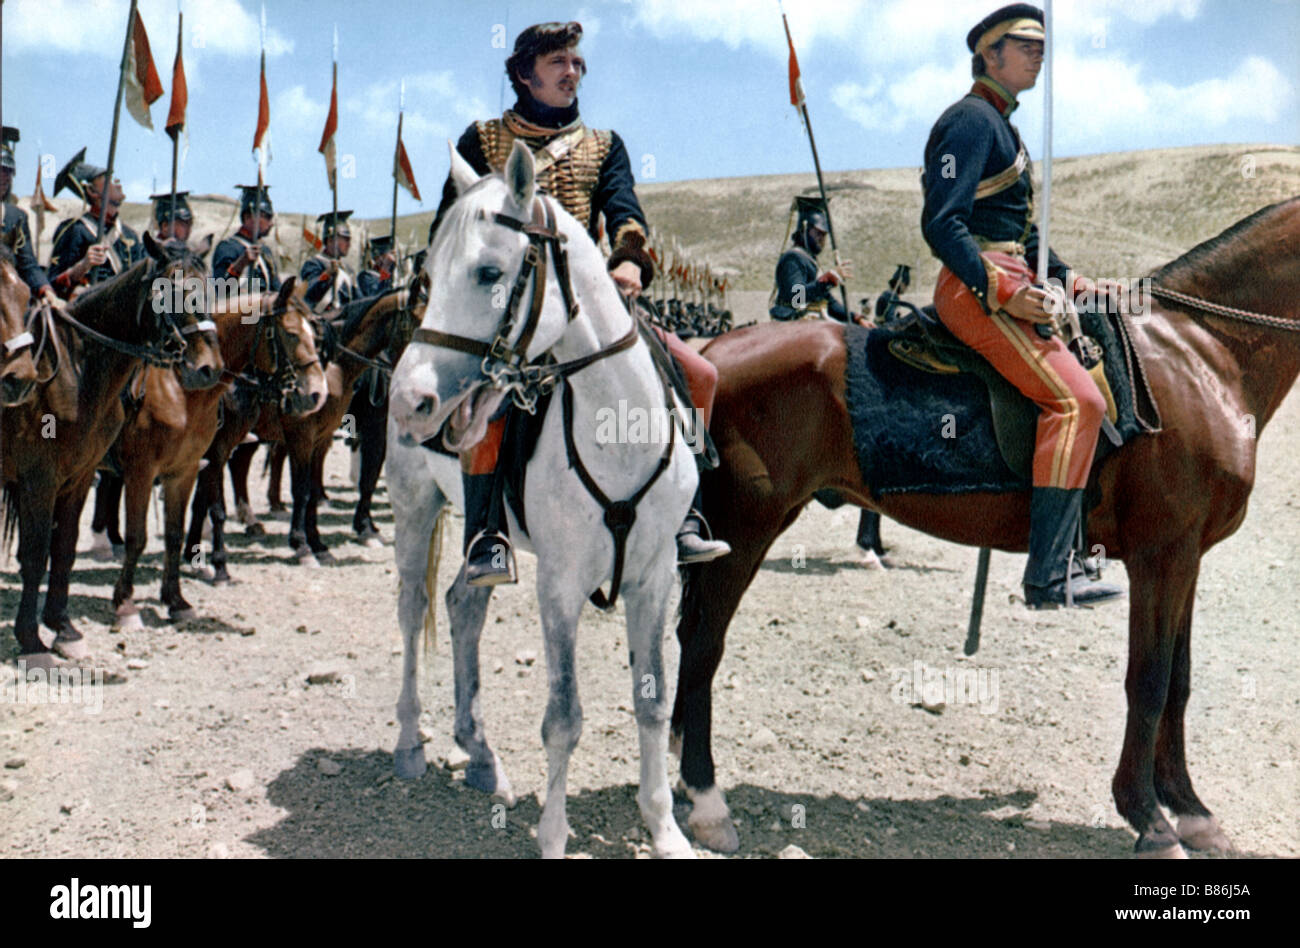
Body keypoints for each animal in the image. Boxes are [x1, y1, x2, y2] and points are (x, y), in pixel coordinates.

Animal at [2, 235, 222, 663]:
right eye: (168, 290)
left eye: (210, 287)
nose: (207, 368)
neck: (78, 373)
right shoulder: (41, 482)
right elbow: (37, 554)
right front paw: (32, 640)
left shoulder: (81, 477)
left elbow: (65, 549)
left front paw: (64, 628)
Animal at [109, 276, 327, 624]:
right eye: (291, 333)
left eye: (314, 333)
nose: (317, 394)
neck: (181, 389)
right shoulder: (155, 468)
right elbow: (212, 511)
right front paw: (218, 566)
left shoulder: (202, 460)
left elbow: (188, 518)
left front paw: (191, 570)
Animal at [387, 140, 702, 858]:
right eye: (428, 273)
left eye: (488, 272)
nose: (408, 400)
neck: (618, 429)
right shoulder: (559, 585)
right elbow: (563, 718)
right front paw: (554, 836)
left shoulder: (655, 578)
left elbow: (652, 700)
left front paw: (666, 828)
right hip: (413, 504)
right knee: (413, 609)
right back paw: (411, 743)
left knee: (462, 606)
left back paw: (480, 754)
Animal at [676, 197, 1300, 858]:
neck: (1202, 355)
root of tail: (712, 355)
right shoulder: (1160, 555)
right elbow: (1150, 682)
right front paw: (1149, 818)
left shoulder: (1186, 557)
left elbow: (1178, 683)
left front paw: (1192, 810)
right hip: (745, 529)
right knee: (702, 644)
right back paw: (707, 801)